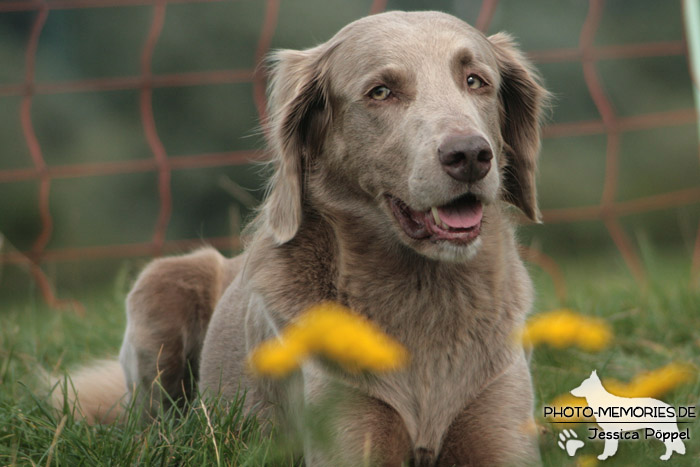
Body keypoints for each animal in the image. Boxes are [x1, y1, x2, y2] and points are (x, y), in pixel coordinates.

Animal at [58, 11, 548, 467]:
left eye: (475, 80)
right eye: (381, 92)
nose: (470, 155)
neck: (424, 293)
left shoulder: (502, 426)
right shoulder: (346, 435)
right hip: (160, 288)